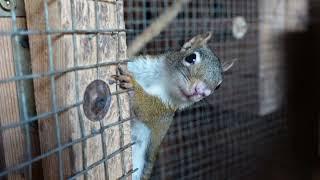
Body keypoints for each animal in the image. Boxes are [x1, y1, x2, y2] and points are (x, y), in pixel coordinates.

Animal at [112, 32, 235, 180]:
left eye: (218, 86)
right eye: (191, 57)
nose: (201, 92)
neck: (162, 80)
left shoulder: (163, 110)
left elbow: (146, 108)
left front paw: (134, 87)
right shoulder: (140, 65)